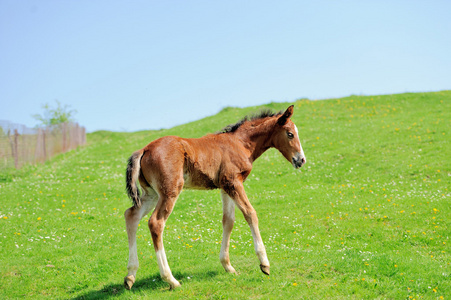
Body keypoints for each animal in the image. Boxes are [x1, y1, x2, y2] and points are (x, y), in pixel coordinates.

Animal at [123, 105, 308, 288]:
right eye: (290, 134)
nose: (301, 160)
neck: (240, 143)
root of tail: (144, 150)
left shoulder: (225, 187)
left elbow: (228, 221)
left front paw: (228, 266)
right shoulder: (234, 182)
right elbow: (250, 213)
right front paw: (264, 264)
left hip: (152, 193)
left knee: (131, 215)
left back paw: (130, 276)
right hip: (170, 191)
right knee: (156, 223)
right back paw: (171, 279)